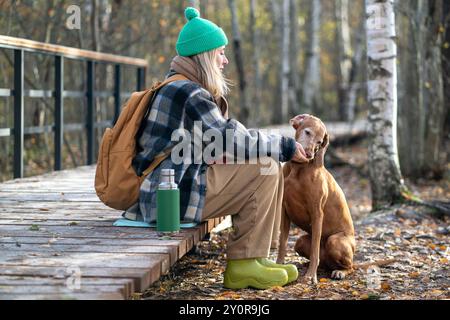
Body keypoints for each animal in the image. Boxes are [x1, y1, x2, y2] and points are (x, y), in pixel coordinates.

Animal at [276, 114, 356, 284]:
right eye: (307, 132)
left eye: (320, 142)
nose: (308, 154)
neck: (298, 169)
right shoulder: (284, 212)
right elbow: (282, 243)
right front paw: (279, 265)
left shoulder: (317, 213)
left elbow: (314, 251)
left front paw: (310, 276)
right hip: (300, 242)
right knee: (322, 260)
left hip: (335, 240)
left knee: (350, 266)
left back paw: (339, 272)